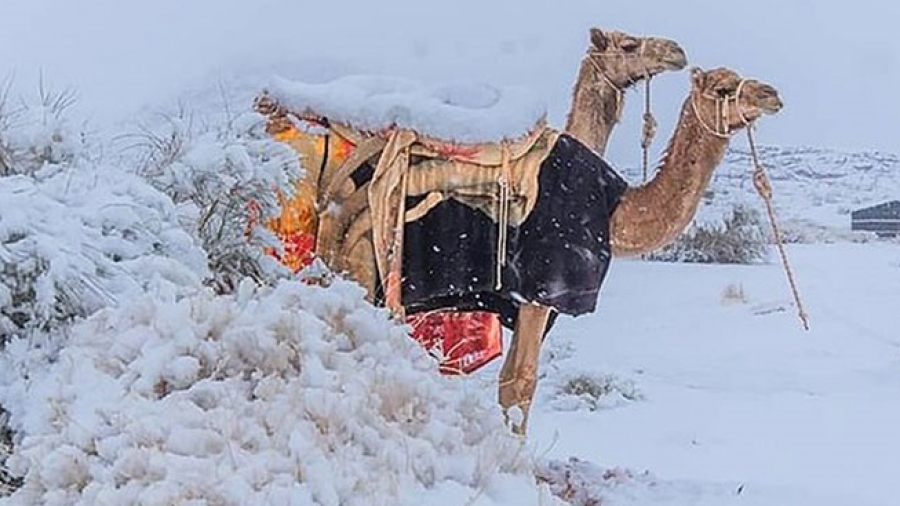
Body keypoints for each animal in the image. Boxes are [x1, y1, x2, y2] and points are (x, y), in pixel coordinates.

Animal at [496, 65, 784, 432]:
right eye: (723, 88)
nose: (771, 94)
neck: (612, 207)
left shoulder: (526, 299)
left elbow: (507, 382)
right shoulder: (542, 287)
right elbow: (520, 384)